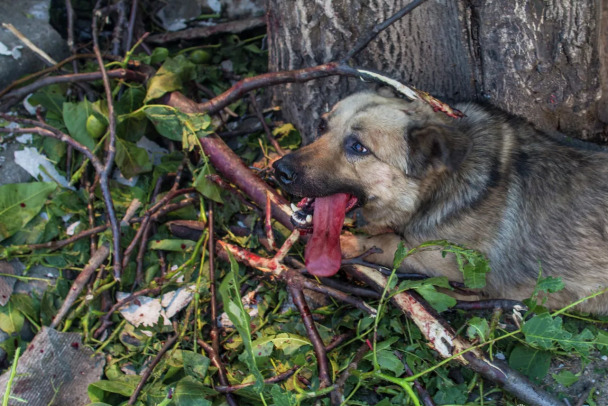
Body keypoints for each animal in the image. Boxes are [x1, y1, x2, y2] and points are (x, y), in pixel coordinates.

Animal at [272, 92, 608, 314]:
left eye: (358, 147)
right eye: (321, 126)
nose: (280, 170)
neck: (438, 187)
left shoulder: (455, 271)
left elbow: (391, 245)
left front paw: (350, 242)